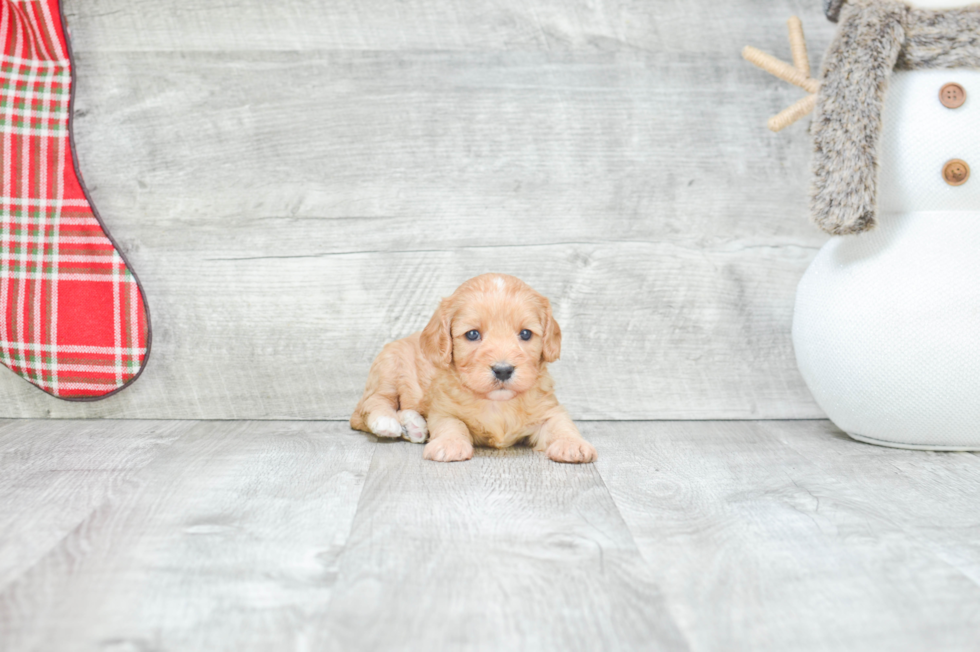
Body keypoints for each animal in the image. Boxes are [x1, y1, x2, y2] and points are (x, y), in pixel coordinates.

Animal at [352, 272, 596, 464]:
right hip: (388, 368)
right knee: (371, 404)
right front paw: (449, 444)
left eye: (526, 334)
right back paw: (387, 422)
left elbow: (562, 424)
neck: (498, 404)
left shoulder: (548, 409)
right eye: (472, 334)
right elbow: (452, 424)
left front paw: (573, 445)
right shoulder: (444, 409)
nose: (503, 370)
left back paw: (414, 426)